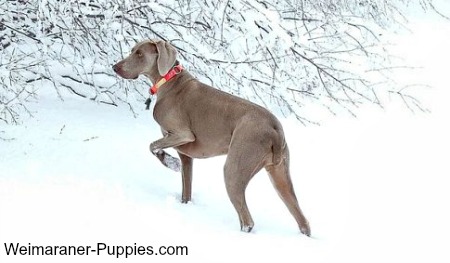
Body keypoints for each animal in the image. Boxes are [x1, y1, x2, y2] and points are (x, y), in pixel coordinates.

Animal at [113, 39, 310, 237]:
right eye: (132, 50)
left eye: (139, 53)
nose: (115, 67)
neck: (168, 80)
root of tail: (275, 129)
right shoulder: (186, 156)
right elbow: (186, 188)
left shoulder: (183, 134)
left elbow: (152, 146)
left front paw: (171, 163)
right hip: (280, 174)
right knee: (302, 219)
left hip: (234, 168)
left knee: (247, 220)